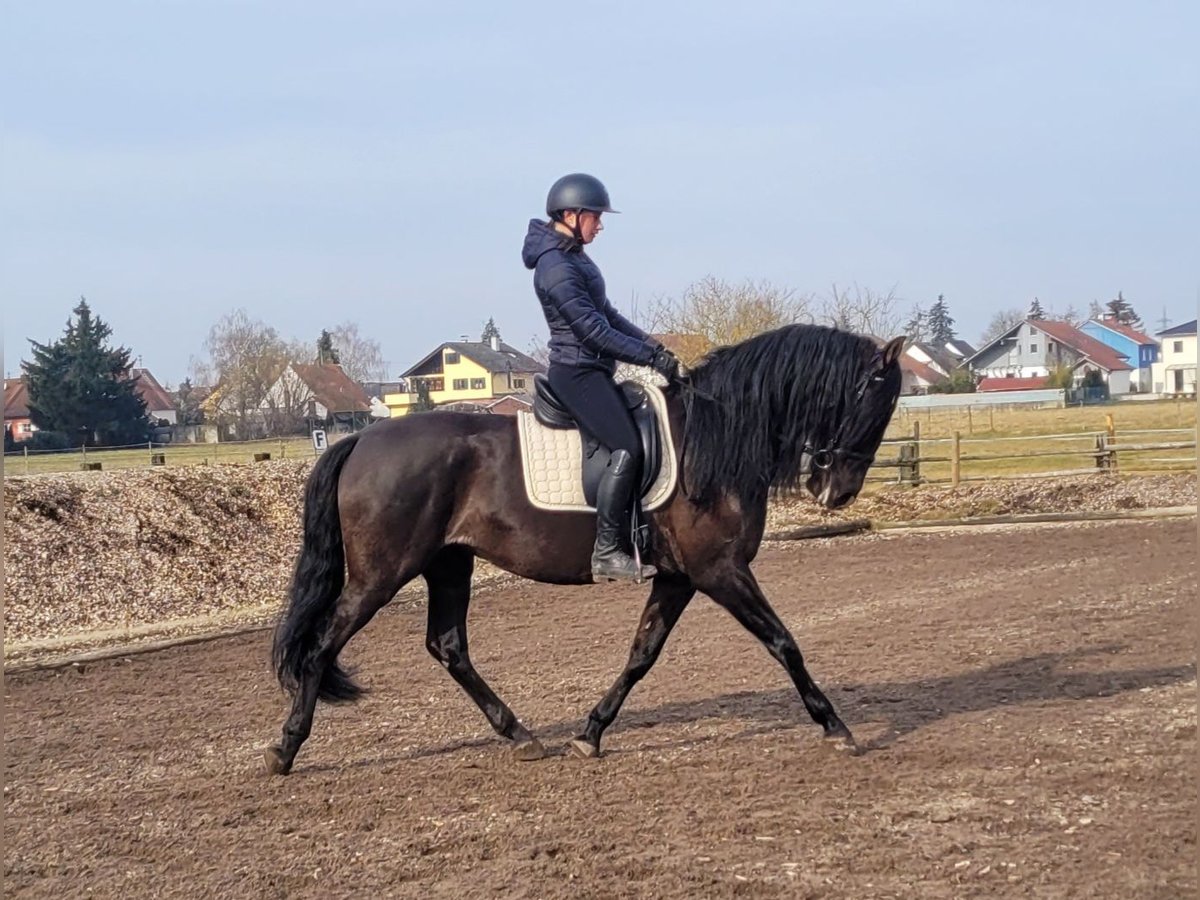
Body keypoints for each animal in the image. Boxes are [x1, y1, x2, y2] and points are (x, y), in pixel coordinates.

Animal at [262, 324, 902, 777]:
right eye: (875, 401)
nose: (839, 492)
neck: (712, 439)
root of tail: (362, 439)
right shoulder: (720, 570)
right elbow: (783, 642)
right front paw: (836, 727)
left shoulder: (679, 577)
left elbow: (642, 654)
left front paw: (590, 734)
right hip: (381, 574)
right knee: (322, 644)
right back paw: (285, 750)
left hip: (448, 564)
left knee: (447, 646)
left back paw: (521, 736)